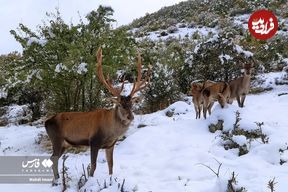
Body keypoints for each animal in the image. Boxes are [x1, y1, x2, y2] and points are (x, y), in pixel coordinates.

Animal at [45, 48, 151, 184]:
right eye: (120, 105)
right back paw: (57, 181)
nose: (130, 117)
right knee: (53, 158)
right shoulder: (94, 141)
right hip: (56, 139)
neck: (110, 132)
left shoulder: (111, 145)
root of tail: (46, 122)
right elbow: (93, 166)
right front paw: (89, 181)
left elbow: (111, 164)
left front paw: (111, 180)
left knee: (54, 158)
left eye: (131, 104)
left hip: (64, 144)